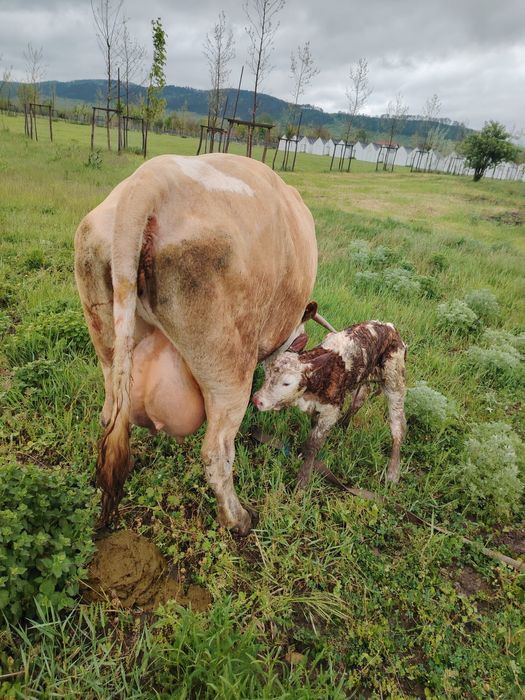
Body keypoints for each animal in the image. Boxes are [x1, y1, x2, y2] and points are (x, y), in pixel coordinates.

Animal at [74, 153, 329, 535]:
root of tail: (149, 181)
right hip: (228, 364)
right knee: (217, 452)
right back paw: (238, 519)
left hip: (105, 336)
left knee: (111, 414)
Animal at [252, 321, 407, 488]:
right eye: (268, 374)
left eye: (286, 383)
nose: (257, 400)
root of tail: (390, 328)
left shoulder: (331, 411)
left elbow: (313, 443)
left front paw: (303, 480)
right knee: (362, 394)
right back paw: (343, 424)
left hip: (394, 377)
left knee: (398, 424)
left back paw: (393, 472)